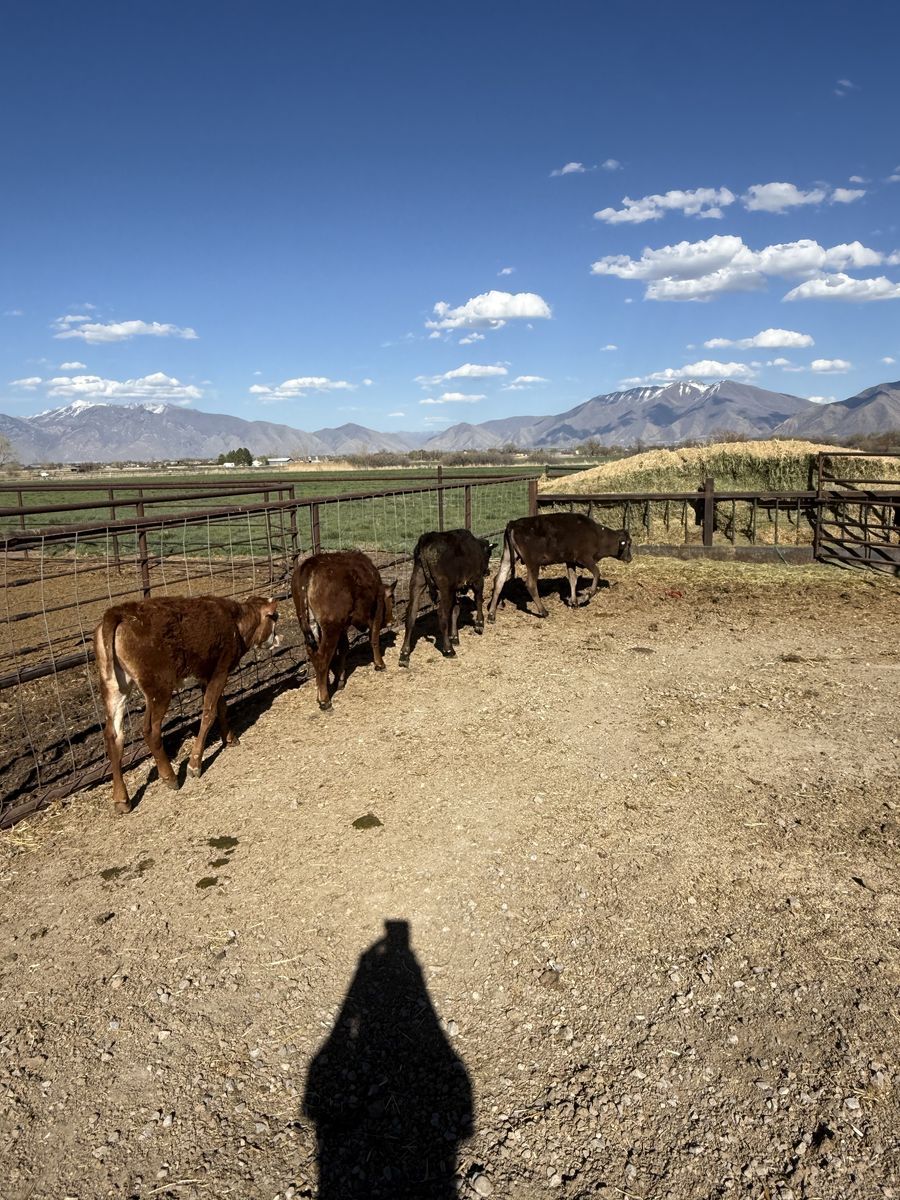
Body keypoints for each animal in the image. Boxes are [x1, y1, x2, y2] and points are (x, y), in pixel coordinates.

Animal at [93, 594, 280, 814]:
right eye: (274, 618)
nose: (278, 638)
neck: (236, 622)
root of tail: (119, 612)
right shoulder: (221, 670)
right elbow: (209, 712)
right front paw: (194, 764)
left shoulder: (207, 675)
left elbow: (221, 707)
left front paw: (230, 738)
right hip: (159, 687)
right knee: (150, 730)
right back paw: (170, 776)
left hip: (113, 687)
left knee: (113, 736)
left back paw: (122, 799)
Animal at [292, 551, 397, 711]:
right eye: (393, 600)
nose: (392, 620)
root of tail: (310, 564)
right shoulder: (376, 611)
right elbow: (374, 639)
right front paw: (379, 664)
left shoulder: (344, 626)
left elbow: (344, 649)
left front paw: (339, 680)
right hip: (331, 627)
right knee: (322, 658)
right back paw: (325, 700)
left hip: (312, 625)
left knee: (313, 654)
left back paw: (321, 691)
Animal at [398, 529, 495, 667]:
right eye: (488, 554)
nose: (487, 572)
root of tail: (428, 538)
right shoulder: (477, 580)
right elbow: (478, 600)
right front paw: (479, 624)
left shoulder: (454, 589)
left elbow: (455, 610)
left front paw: (454, 637)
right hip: (444, 587)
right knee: (442, 615)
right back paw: (448, 650)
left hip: (417, 580)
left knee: (411, 615)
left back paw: (404, 655)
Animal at [487, 512, 632, 621]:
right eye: (628, 543)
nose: (630, 558)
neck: (598, 535)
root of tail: (513, 523)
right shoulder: (585, 558)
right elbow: (596, 573)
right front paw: (585, 597)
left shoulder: (570, 561)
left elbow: (573, 580)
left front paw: (574, 602)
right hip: (533, 562)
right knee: (531, 584)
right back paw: (543, 611)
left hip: (507, 557)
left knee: (499, 580)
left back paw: (491, 614)